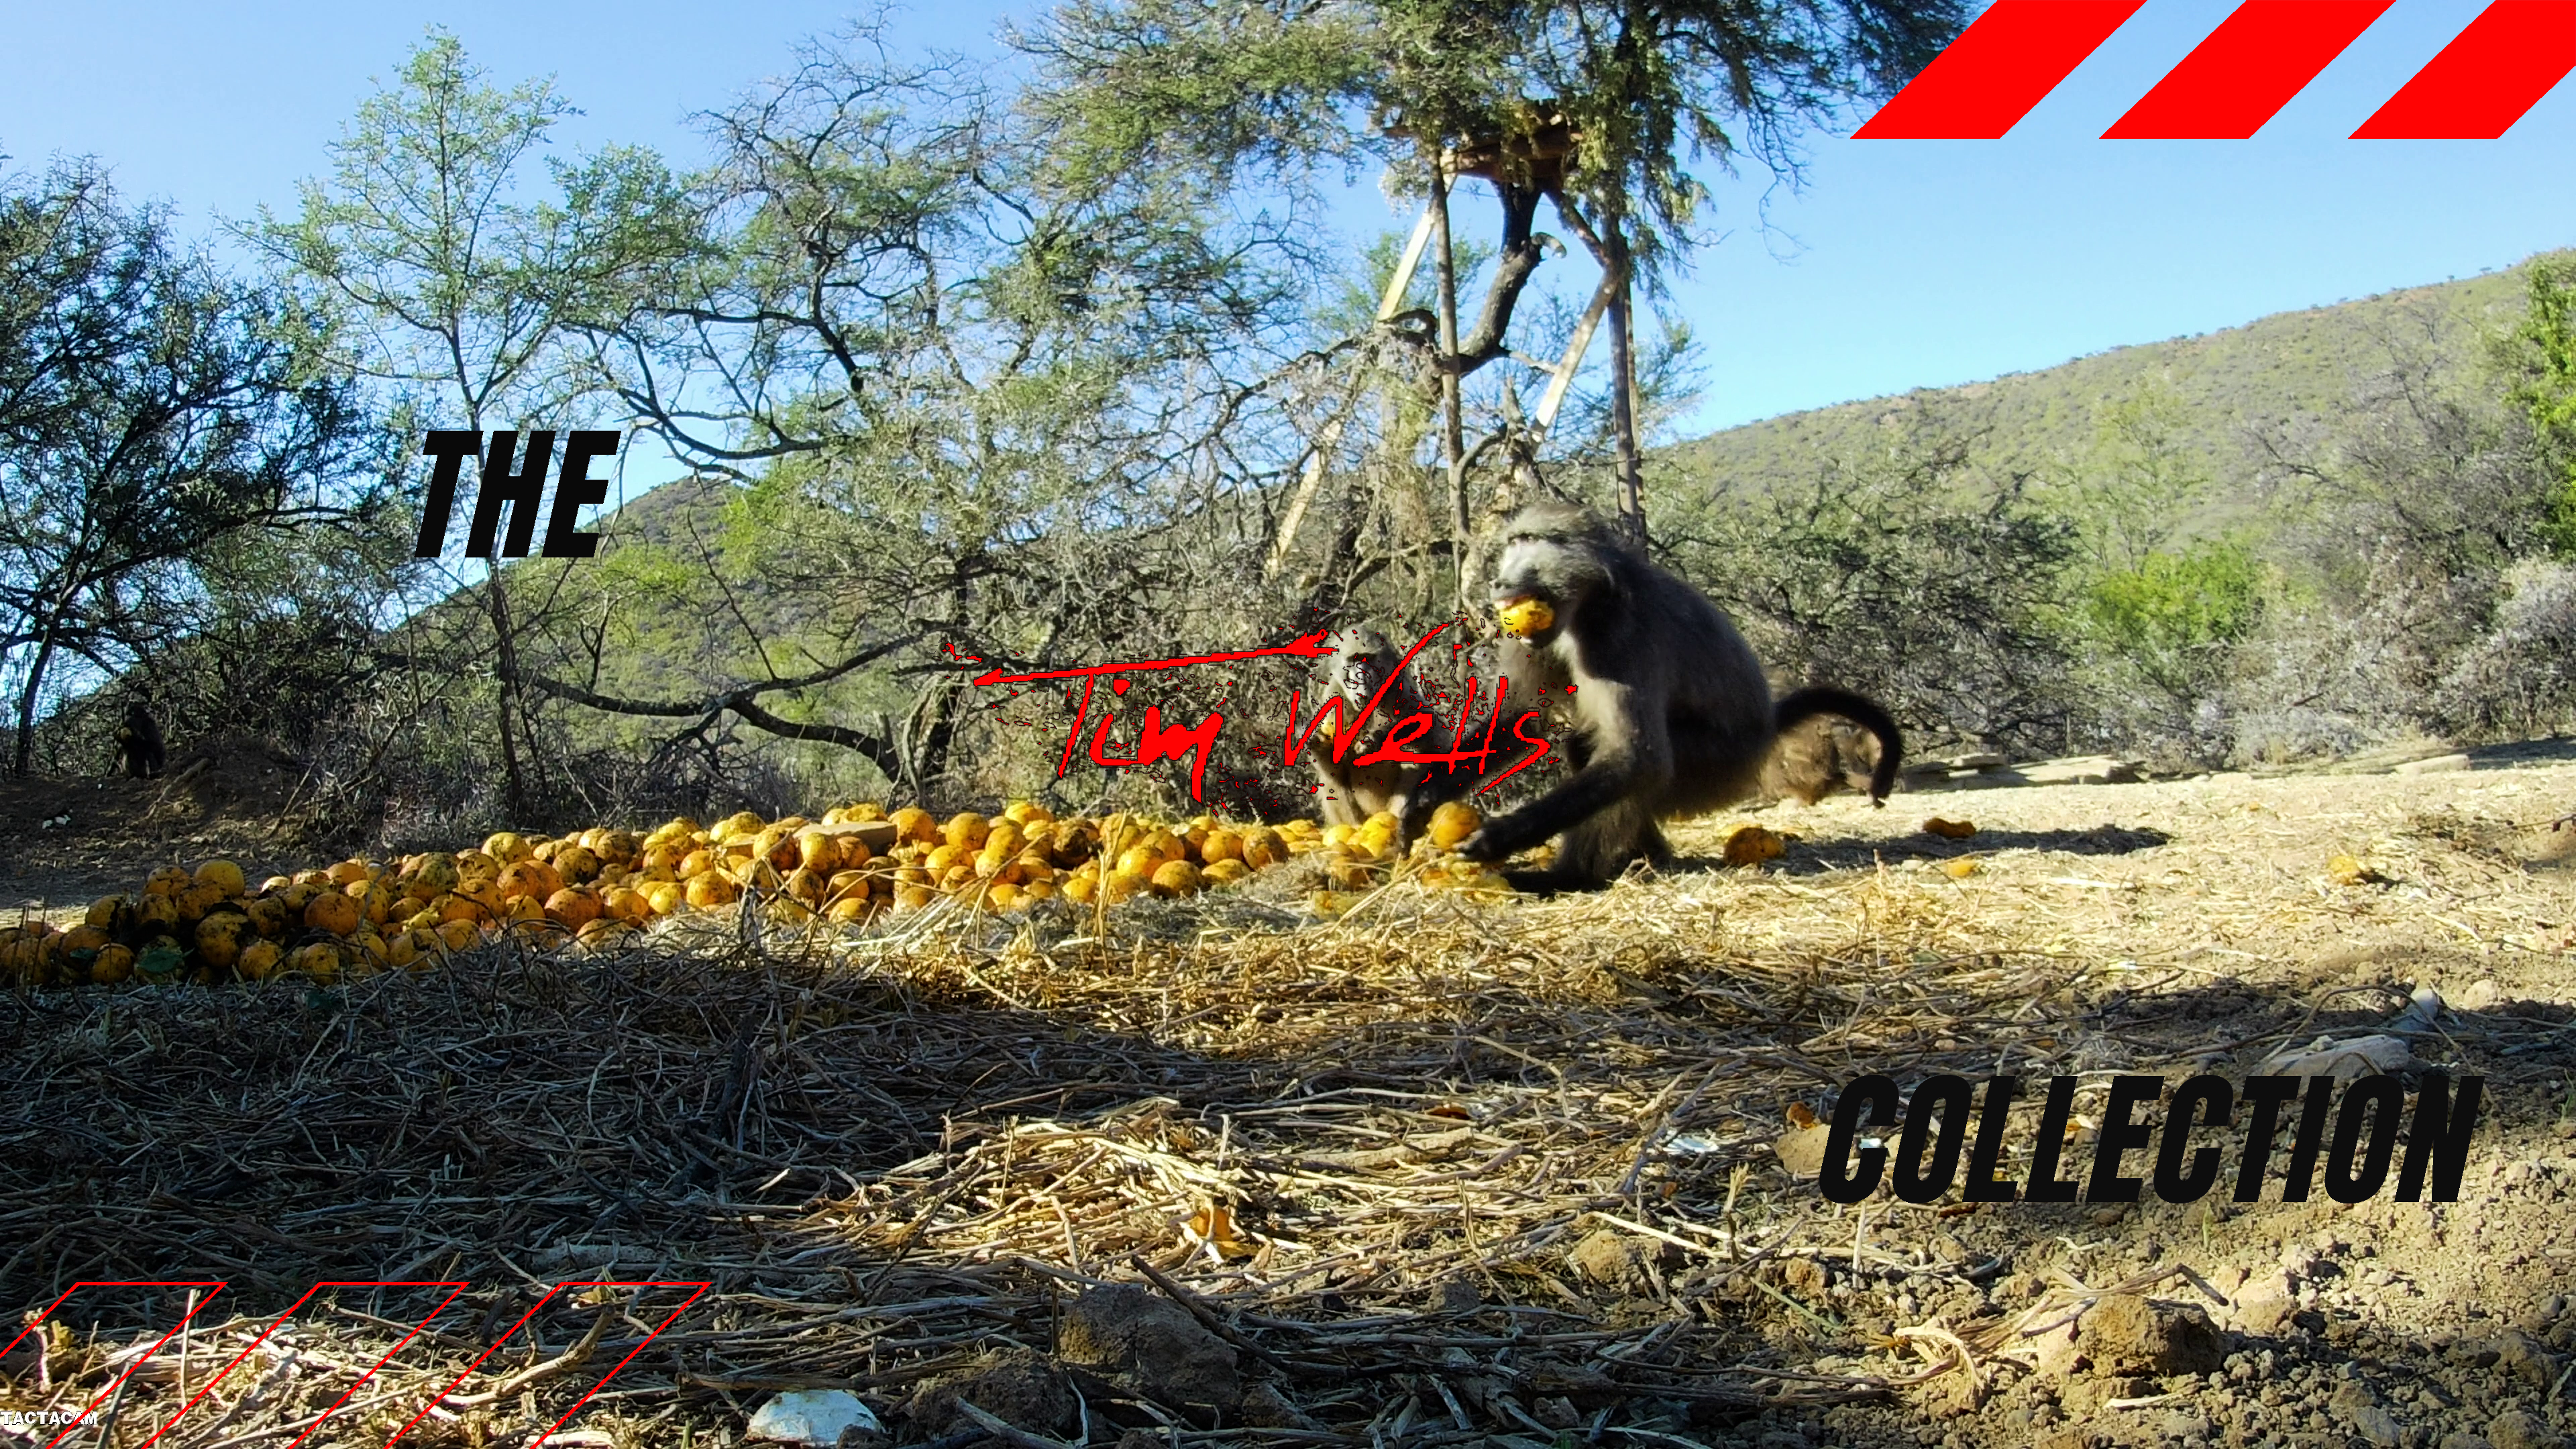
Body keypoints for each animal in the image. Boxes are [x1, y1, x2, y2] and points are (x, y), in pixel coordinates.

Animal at [1450, 503, 1903, 889]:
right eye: (1513, 543)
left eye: (1529, 541)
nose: (1499, 582)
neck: (1589, 600)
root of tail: (1769, 723)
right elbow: (1522, 718)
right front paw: (1434, 792)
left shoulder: (1620, 639)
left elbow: (1639, 758)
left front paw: (1498, 837)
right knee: (1587, 753)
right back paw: (1645, 855)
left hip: (1715, 765)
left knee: (1632, 765)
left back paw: (1573, 878)